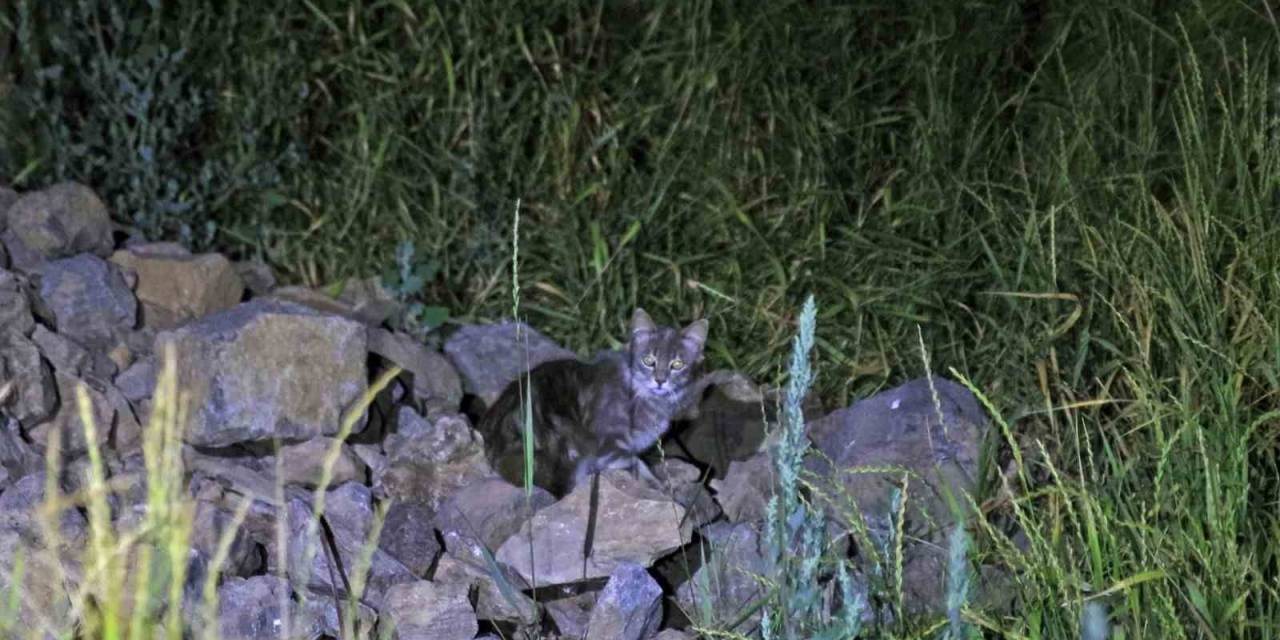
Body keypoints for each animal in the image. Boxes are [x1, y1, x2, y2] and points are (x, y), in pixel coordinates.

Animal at [476, 307, 711, 496]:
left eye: (677, 364)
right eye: (648, 360)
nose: (660, 380)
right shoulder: (607, 443)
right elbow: (636, 463)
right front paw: (657, 484)